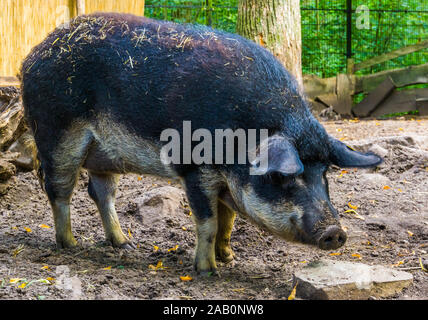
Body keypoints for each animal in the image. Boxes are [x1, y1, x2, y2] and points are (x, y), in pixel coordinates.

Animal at [20, 13, 382, 276]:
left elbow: (228, 220)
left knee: (100, 193)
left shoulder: (226, 182)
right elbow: (207, 222)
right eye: (283, 177)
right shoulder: (194, 169)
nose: (334, 231)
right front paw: (209, 272)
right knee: (59, 191)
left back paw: (126, 245)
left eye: (325, 174)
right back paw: (71, 245)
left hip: (102, 156)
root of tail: (30, 57)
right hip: (56, 135)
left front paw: (229, 258)